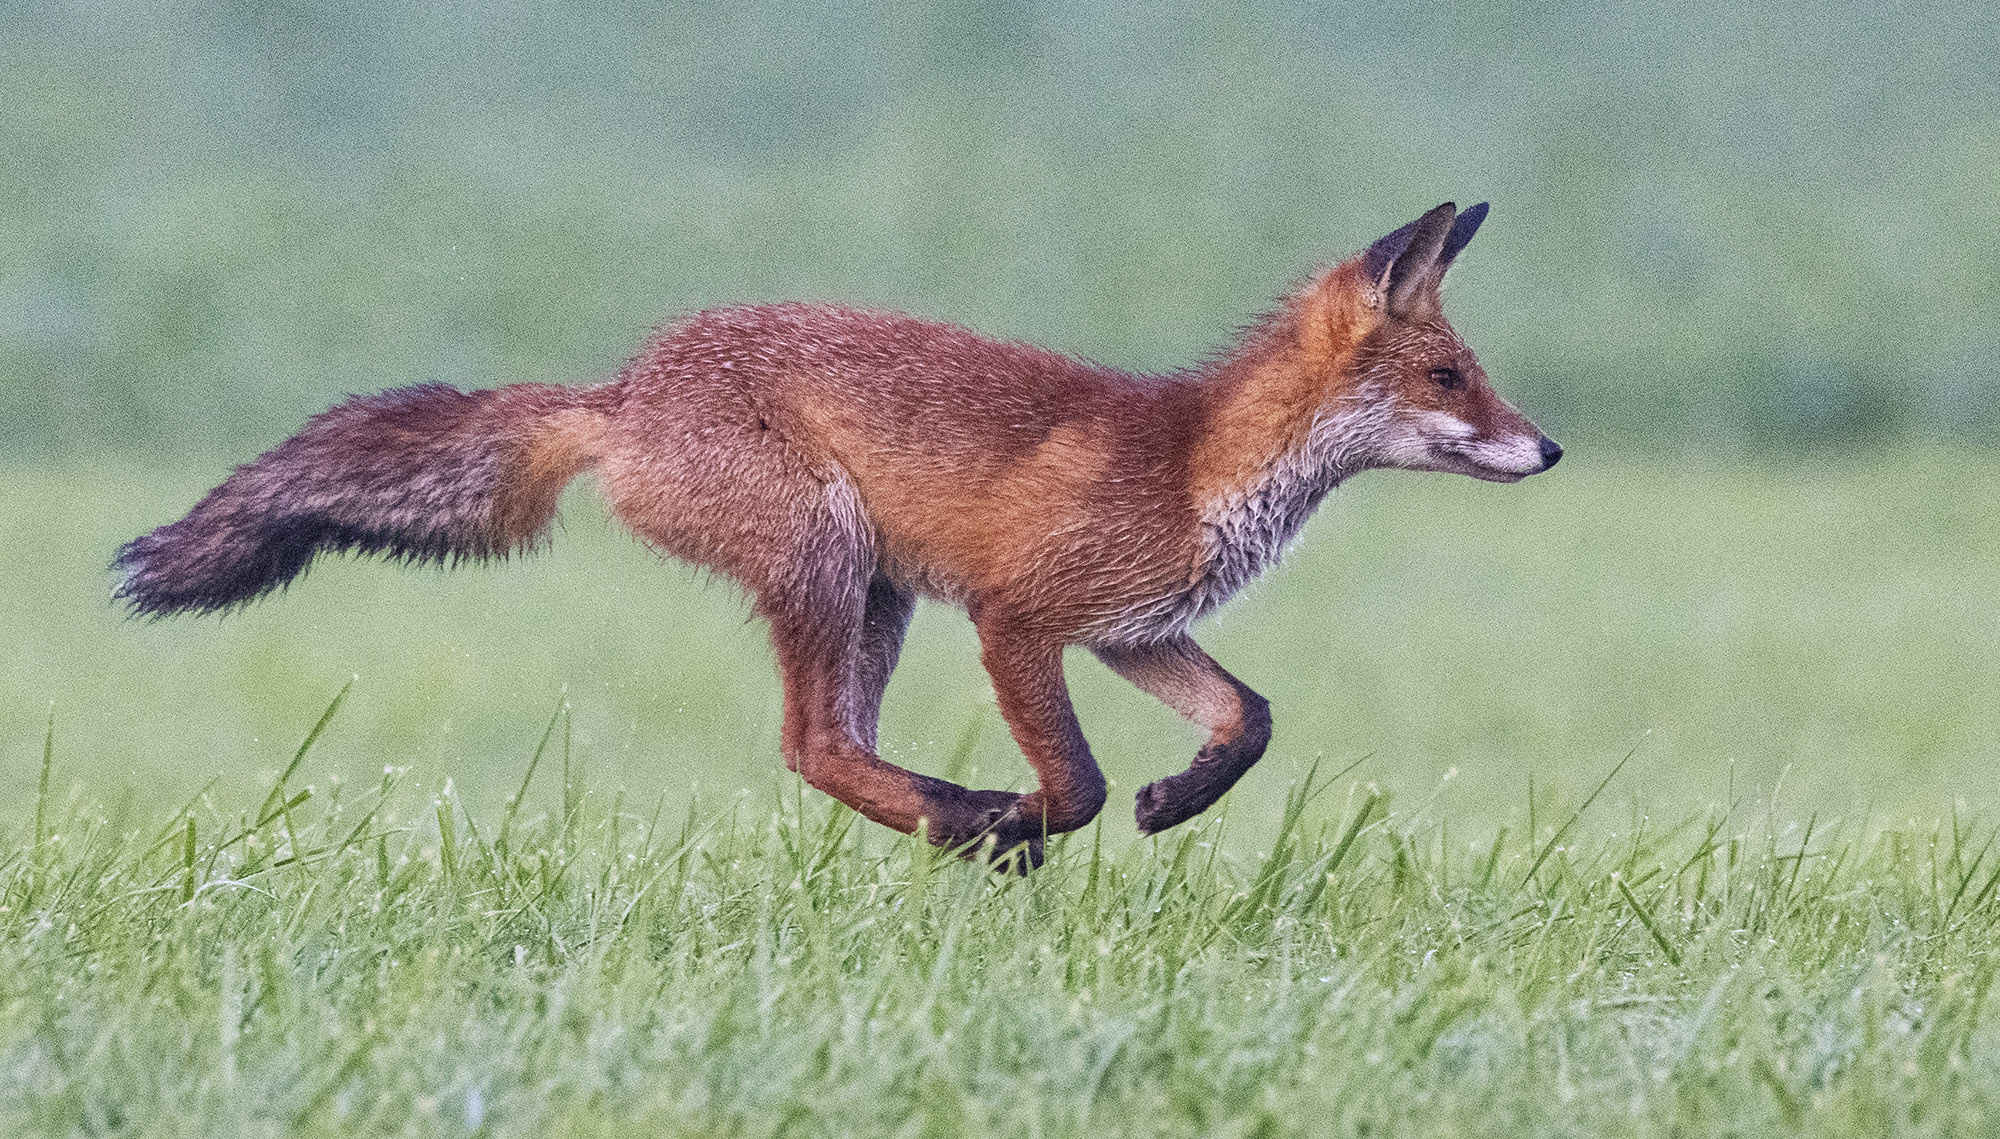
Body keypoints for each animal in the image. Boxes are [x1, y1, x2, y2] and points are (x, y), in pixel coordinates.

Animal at [115, 201, 1559, 867]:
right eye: (1452, 380)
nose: (1549, 450)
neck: (1200, 463)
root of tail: (623, 390)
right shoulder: (1017, 615)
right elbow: (1079, 780)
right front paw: (1038, 816)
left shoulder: (1133, 628)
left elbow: (1247, 719)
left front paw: (1175, 797)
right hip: (823, 558)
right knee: (811, 744)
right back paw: (972, 821)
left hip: (874, 593)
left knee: (835, 745)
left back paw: (952, 816)